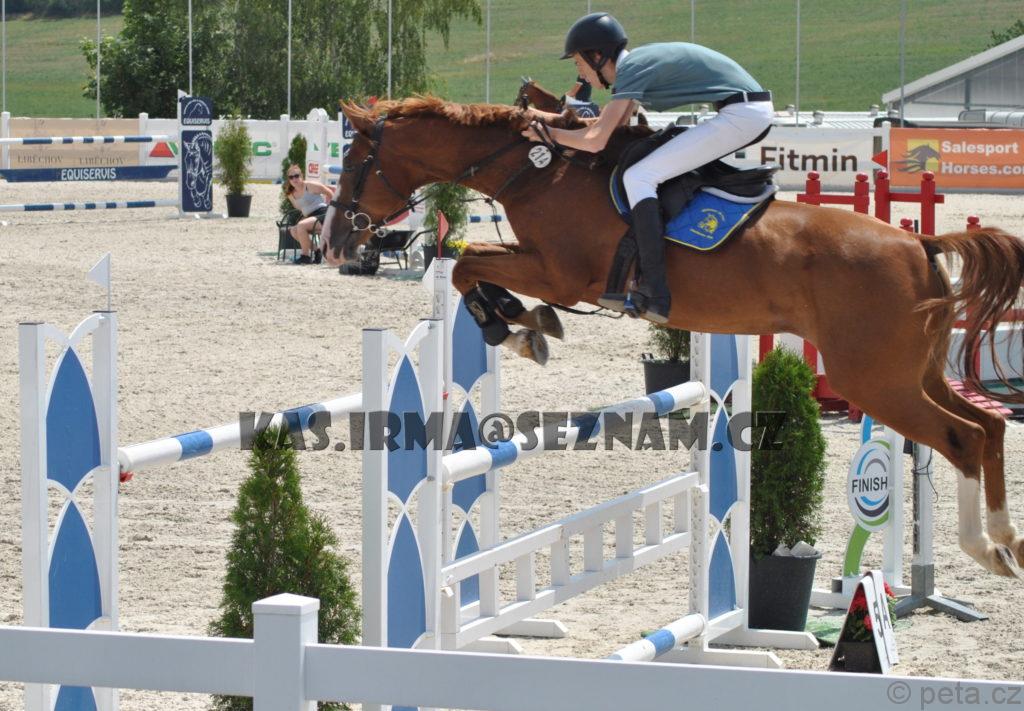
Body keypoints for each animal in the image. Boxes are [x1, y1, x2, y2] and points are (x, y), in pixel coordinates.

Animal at [321, 96, 1024, 581]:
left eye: (355, 162)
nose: (333, 241)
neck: (537, 171)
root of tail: (920, 244)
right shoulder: (540, 264)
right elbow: (473, 262)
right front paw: (529, 324)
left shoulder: (560, 272)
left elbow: (467, 262)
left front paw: (515, 328)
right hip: (913, 372)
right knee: (990, 428)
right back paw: (1006, 540)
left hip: (873, 379)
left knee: (963, 437)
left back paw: (983, 548)